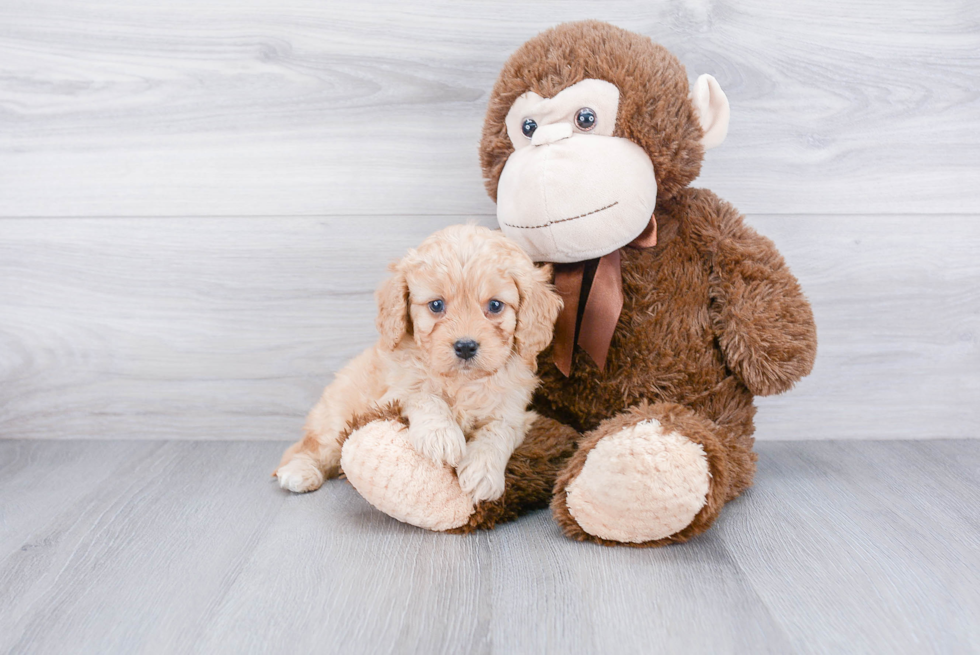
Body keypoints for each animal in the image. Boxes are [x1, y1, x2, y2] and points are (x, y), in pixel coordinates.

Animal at [276, 224, 568, 502]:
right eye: (436, 305)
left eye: (495, 306)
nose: (465, 346)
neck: (461, 382)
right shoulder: (392, 395)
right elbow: (423, 395)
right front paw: (441, 435)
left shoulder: (514, 413)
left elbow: (498, 431)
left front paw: (482, 472)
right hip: (335, 418)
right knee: (311, 447)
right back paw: (298, 472)